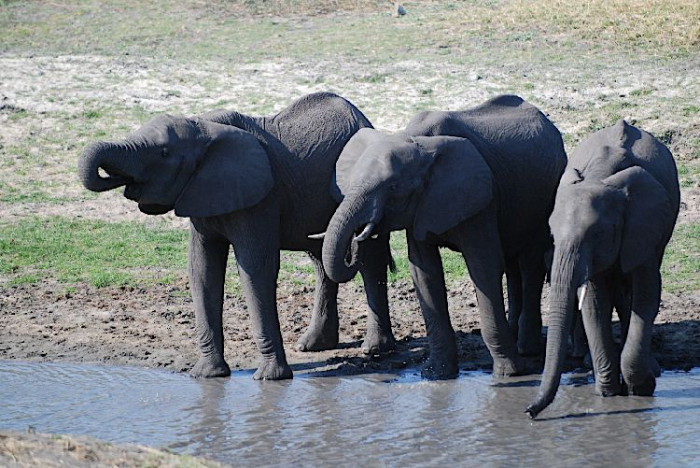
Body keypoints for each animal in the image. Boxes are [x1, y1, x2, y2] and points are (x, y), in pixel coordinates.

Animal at [77, 91, 396, 380]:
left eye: (164, 153)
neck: (204, 128)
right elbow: (202, 269)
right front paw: (207, 375)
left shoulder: (260, 198)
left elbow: (255, 268)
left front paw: (270, 378)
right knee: (320, 260)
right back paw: (313, 345)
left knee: (369, 260)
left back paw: (375, 349)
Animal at [320, 96, 568, 380]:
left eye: (393, 188)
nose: (356, 242)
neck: (415, 142)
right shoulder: (423, 205)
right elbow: (424, 272)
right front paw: (436, 375)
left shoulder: (479, 197)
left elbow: (483, 267)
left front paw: (509, 374)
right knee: (513, 263)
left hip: (546, 196)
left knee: (530, 264)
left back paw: (528, 348)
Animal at [524, 119, 680, 418]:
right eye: (552, 234)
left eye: (596, 234)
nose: (528, 411)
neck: (601, 176)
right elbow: (595, 303)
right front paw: (608, 393)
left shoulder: (642, 227)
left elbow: (646, 296)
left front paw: (641, 387)